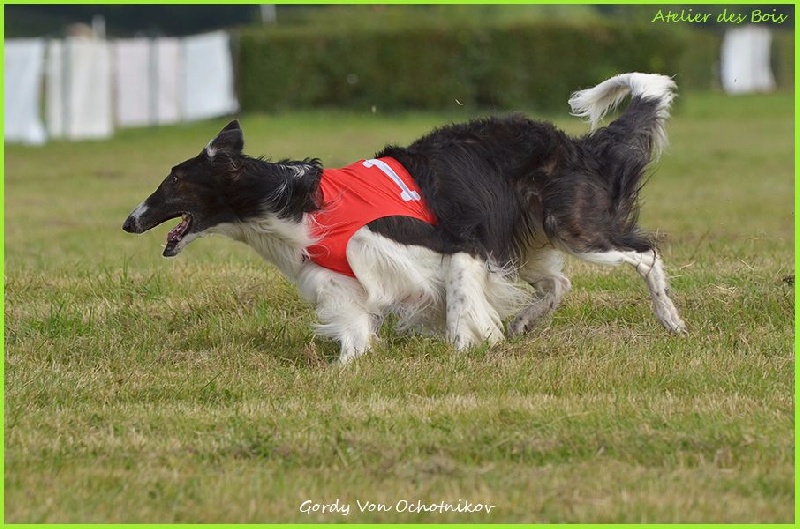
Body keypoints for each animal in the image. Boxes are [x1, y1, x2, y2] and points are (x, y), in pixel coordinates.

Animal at [123, 72, 688, 364]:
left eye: (175, 181)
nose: (129, 221)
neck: (296, 203)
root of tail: (574, 146)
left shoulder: (458, 244)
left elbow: (459, 306)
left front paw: (468, 349)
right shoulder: (340, 278)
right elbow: (354, 329)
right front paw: (347, 369)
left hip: (572, 226)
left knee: (645, 253)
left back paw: (672, 321)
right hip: (526, 238)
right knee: (557, 284)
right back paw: (525, 322)